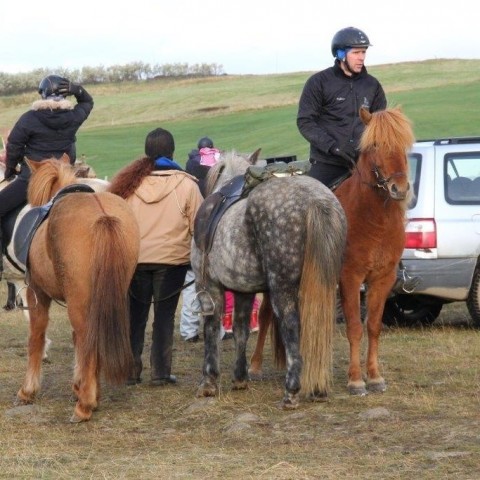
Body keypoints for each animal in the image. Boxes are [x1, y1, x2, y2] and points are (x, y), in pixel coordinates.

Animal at [13, 158, 141, 420]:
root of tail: (103, 215)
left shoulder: (37, 293)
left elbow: (36, 337)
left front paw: (28, 390)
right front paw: (81, 384)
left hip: (76, 303)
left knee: (86, 339)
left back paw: (84, 405)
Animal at [189, 151, 346, 408]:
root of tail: (315, 200)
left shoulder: (210, 287)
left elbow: (212, 329)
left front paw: (209, 382)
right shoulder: (243, 290)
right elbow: (241, 329)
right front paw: (240, 377)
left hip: (282, 288)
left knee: (291, 325)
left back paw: (291, 391)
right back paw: (317, 389)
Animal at [249, 107, 414, 396]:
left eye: (404, 144)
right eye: (375, 145)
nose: (399, 189)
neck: (373, 219)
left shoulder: (383, 278)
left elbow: (373, 326)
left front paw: (374, 377)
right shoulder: (350, 278)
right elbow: (355, 327)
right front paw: (356, 380)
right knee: (267, 314)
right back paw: (255, 367)